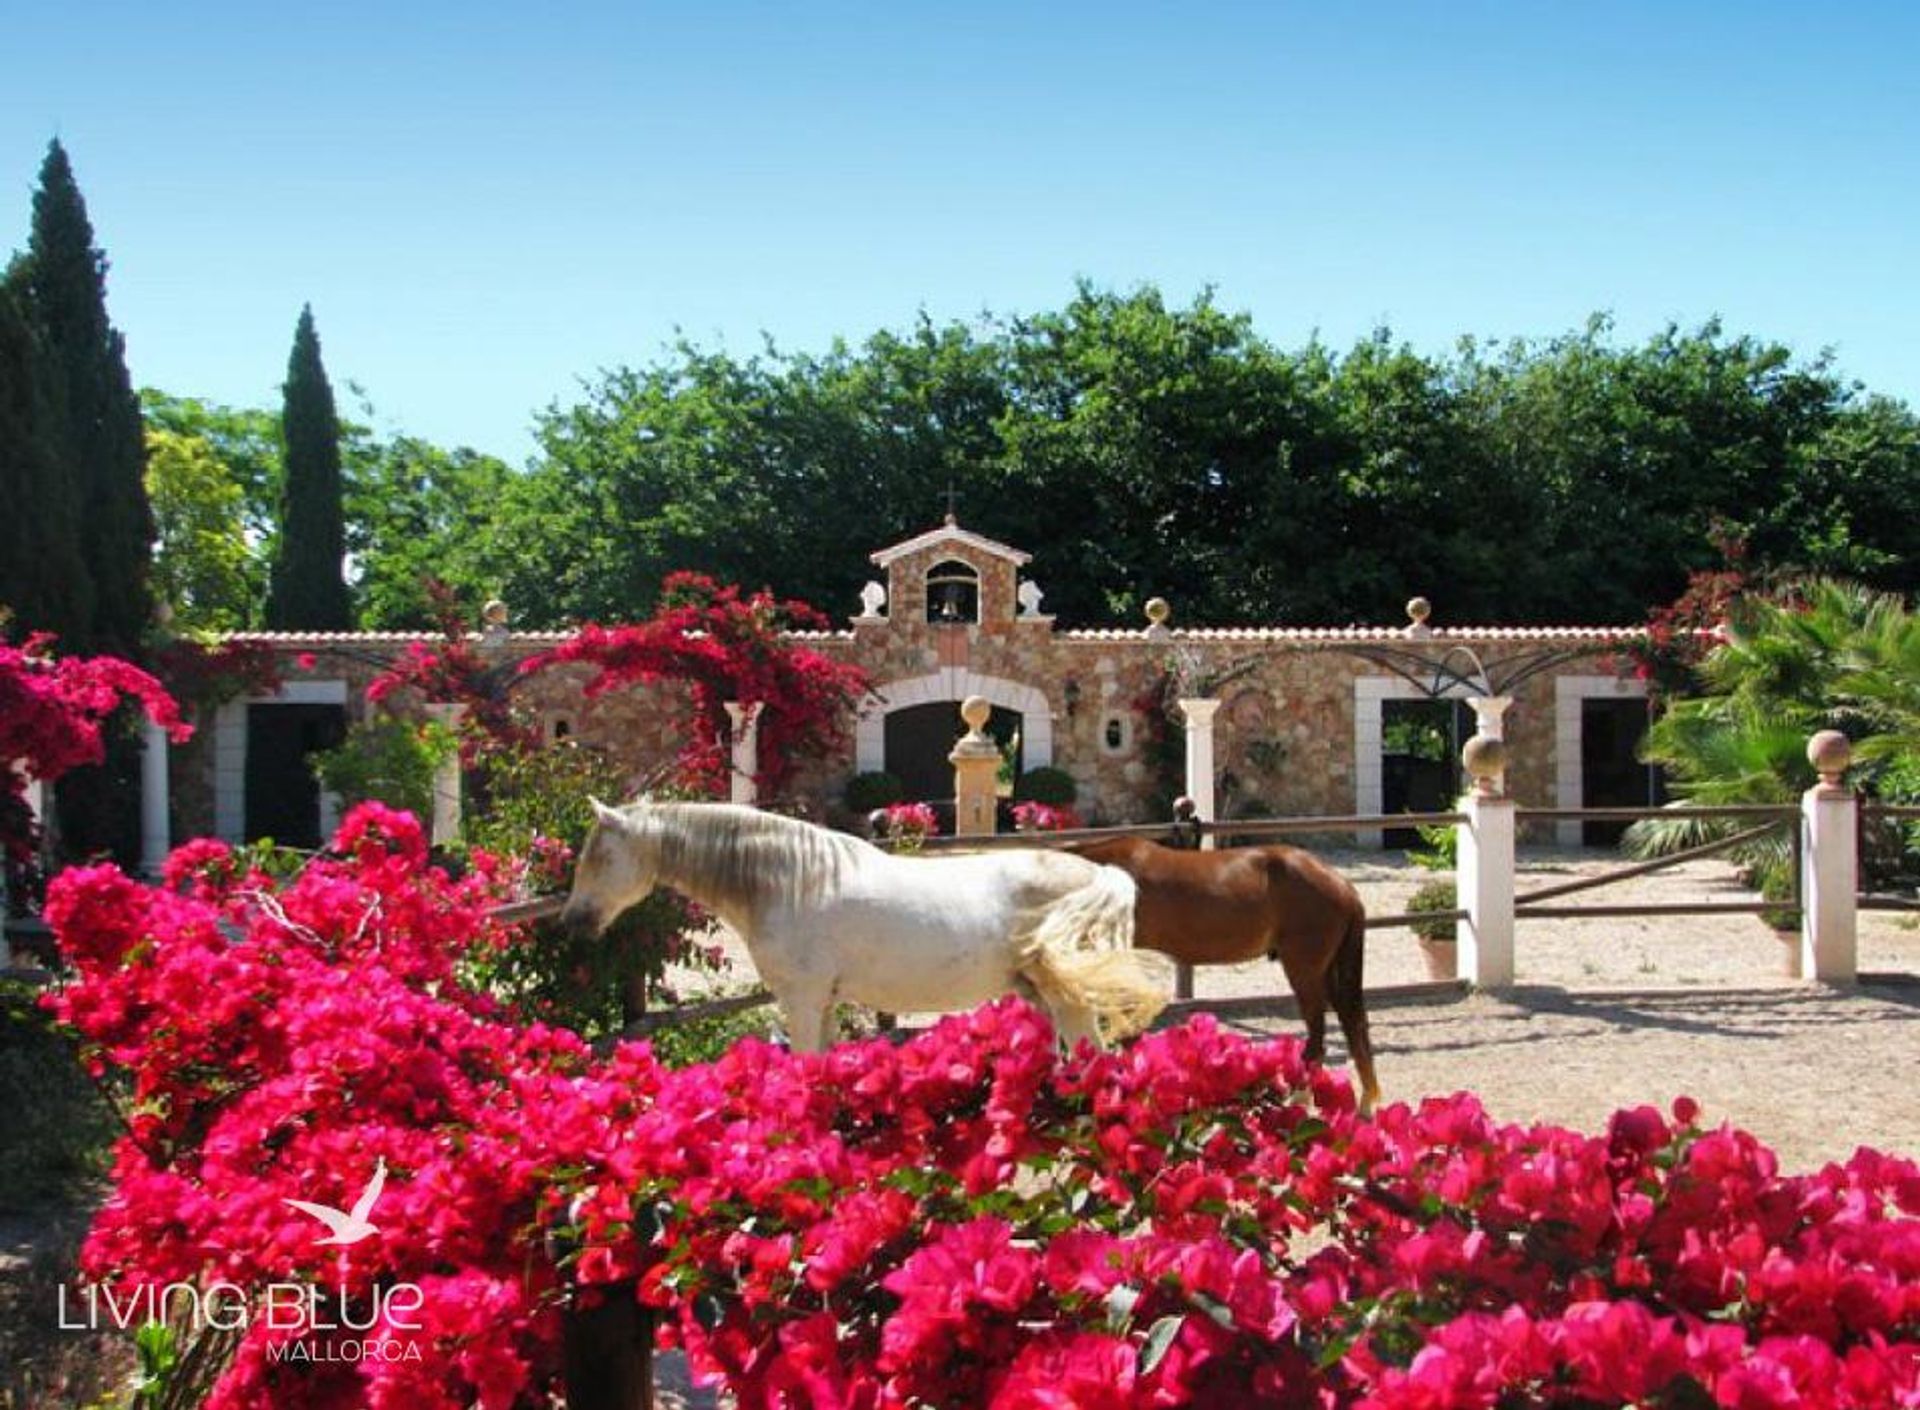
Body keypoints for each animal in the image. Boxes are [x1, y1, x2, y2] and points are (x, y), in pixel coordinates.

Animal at [556, 799, 1167, 1052]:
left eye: (599, 855)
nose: (573, 921)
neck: (791, 881)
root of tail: (1097, 875)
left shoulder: (802, 1000)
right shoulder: (824, 1002)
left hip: (1068, 998)